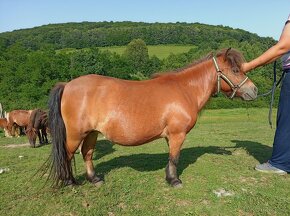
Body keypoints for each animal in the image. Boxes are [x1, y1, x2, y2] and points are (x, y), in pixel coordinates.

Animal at [47, 48, 258, 187]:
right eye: (236, 70)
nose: (254, 90)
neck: (185, 89)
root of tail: (67, 85)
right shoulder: (177, 134)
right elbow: (174, 158)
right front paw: (174, 180)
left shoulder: (171, 136)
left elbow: (171, 157)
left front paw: (169, 177)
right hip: (75, 134)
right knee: (67, 155)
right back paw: (70, 182)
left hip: (91, 133)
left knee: (87, 154)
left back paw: (94, 179)